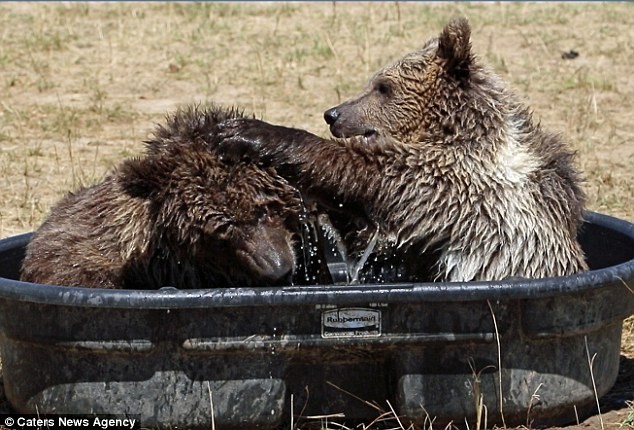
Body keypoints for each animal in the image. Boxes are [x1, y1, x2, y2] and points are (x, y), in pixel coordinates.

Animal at [217, 16, 588, 284]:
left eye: (383, 87)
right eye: (374, 82)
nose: (333, 114)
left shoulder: (457, 185)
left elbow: (374, 174)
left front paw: (247, 133)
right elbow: (376, 245)